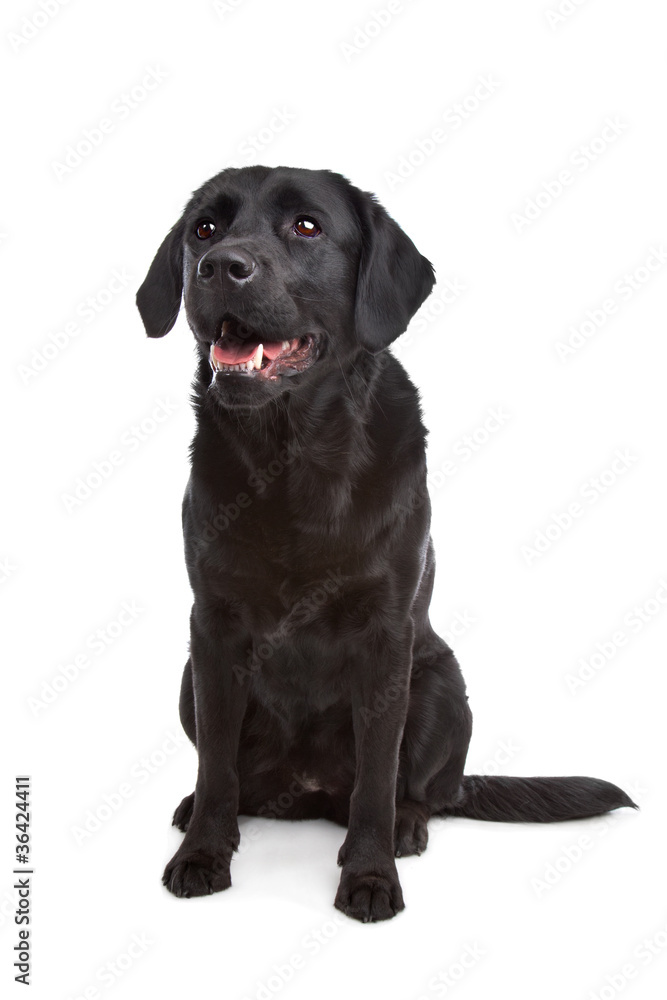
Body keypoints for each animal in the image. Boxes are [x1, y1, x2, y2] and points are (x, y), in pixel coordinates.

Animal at [136, 164, 636, 920]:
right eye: (205, 228)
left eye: (306, 227)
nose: (218, 266)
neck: (293, 460)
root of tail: (304, 792)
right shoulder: (213, 629)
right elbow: (217, 764)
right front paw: (202, 851)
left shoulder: (385, 634)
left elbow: (377, 774)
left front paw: (370, 875)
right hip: (189, 680)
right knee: (234, 777)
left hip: (441, 683)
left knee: (425, 791)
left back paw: (406, 828)